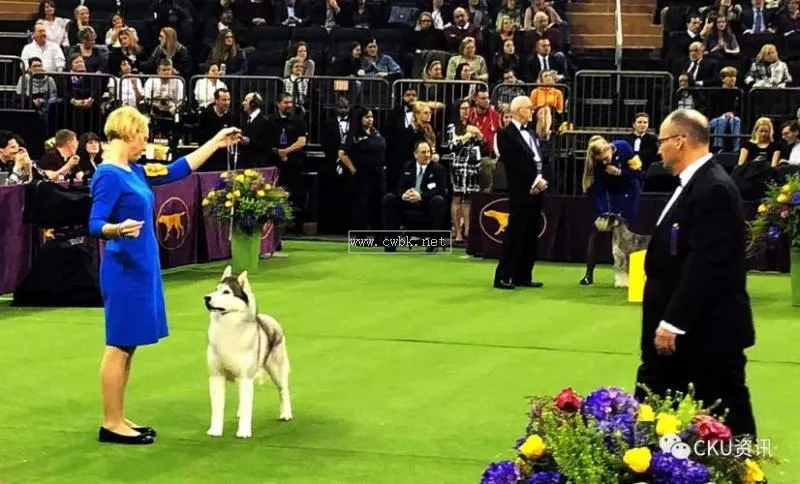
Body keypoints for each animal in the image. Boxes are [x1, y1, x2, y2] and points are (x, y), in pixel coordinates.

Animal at [203, 264, 294, 438]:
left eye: (226, 292)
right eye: (215, 289)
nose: (206, 297)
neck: (228, 329)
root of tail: (270, 319)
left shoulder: (246, 377)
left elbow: (247, 407)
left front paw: (244, 431)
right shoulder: (216, 376)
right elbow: (217, 408)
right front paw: (215, 430)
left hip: (276, 370)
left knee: (283, 391)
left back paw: (286, 414)